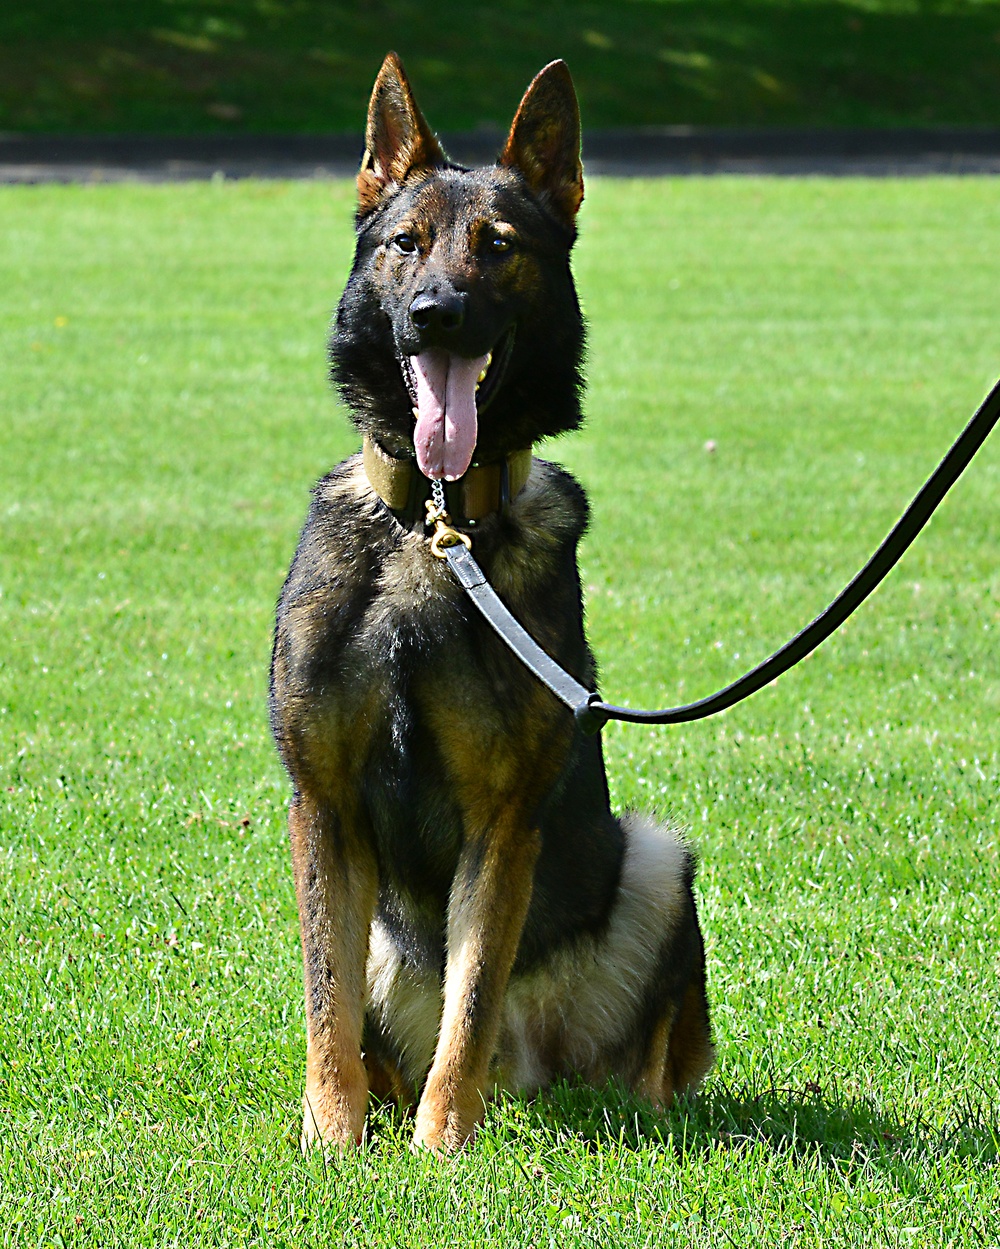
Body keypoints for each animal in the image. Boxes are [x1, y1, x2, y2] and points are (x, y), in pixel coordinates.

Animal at [269, 53, 714, 1154]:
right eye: (406, 243)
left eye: (498, 247)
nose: (435, 313)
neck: (433, 525)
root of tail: (534, 1073)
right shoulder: (322, 807)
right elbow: (327, 999)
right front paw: (332, 1137)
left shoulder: (502, 821)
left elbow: (471, 997)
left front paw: (442, 1147)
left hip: (655, 855)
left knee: (642, 1053)